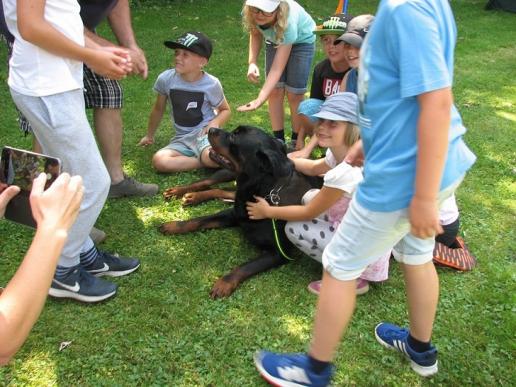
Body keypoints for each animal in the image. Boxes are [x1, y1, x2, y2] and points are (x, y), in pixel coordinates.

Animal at [159, 126, 320, 298]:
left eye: (234, 137)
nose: (211, 128)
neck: (263, 190)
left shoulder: (279, 253)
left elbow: (246, 266)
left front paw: (224, 283)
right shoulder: (234, 213)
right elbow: (199, 220)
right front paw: (174, 226)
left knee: (224, 191)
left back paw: (193, 196)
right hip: (226, 174)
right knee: (209, 182)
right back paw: (181, 192)